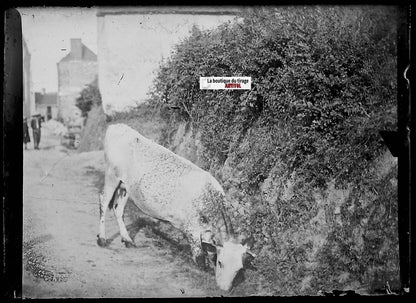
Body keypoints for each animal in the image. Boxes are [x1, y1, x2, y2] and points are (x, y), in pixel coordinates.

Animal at [97, 123, 255, 292]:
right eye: (221, 263)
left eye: (239, 269)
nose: (225, 288)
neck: (208, 198)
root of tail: (118, 126)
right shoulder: (192, 230)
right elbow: (199, 256)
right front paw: (204, 271)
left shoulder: (206, 232)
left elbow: (210, 251)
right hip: (111, 176)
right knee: (103, 201)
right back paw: (102, 239)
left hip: (125, 186)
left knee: (118, 209)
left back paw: (127, 240)